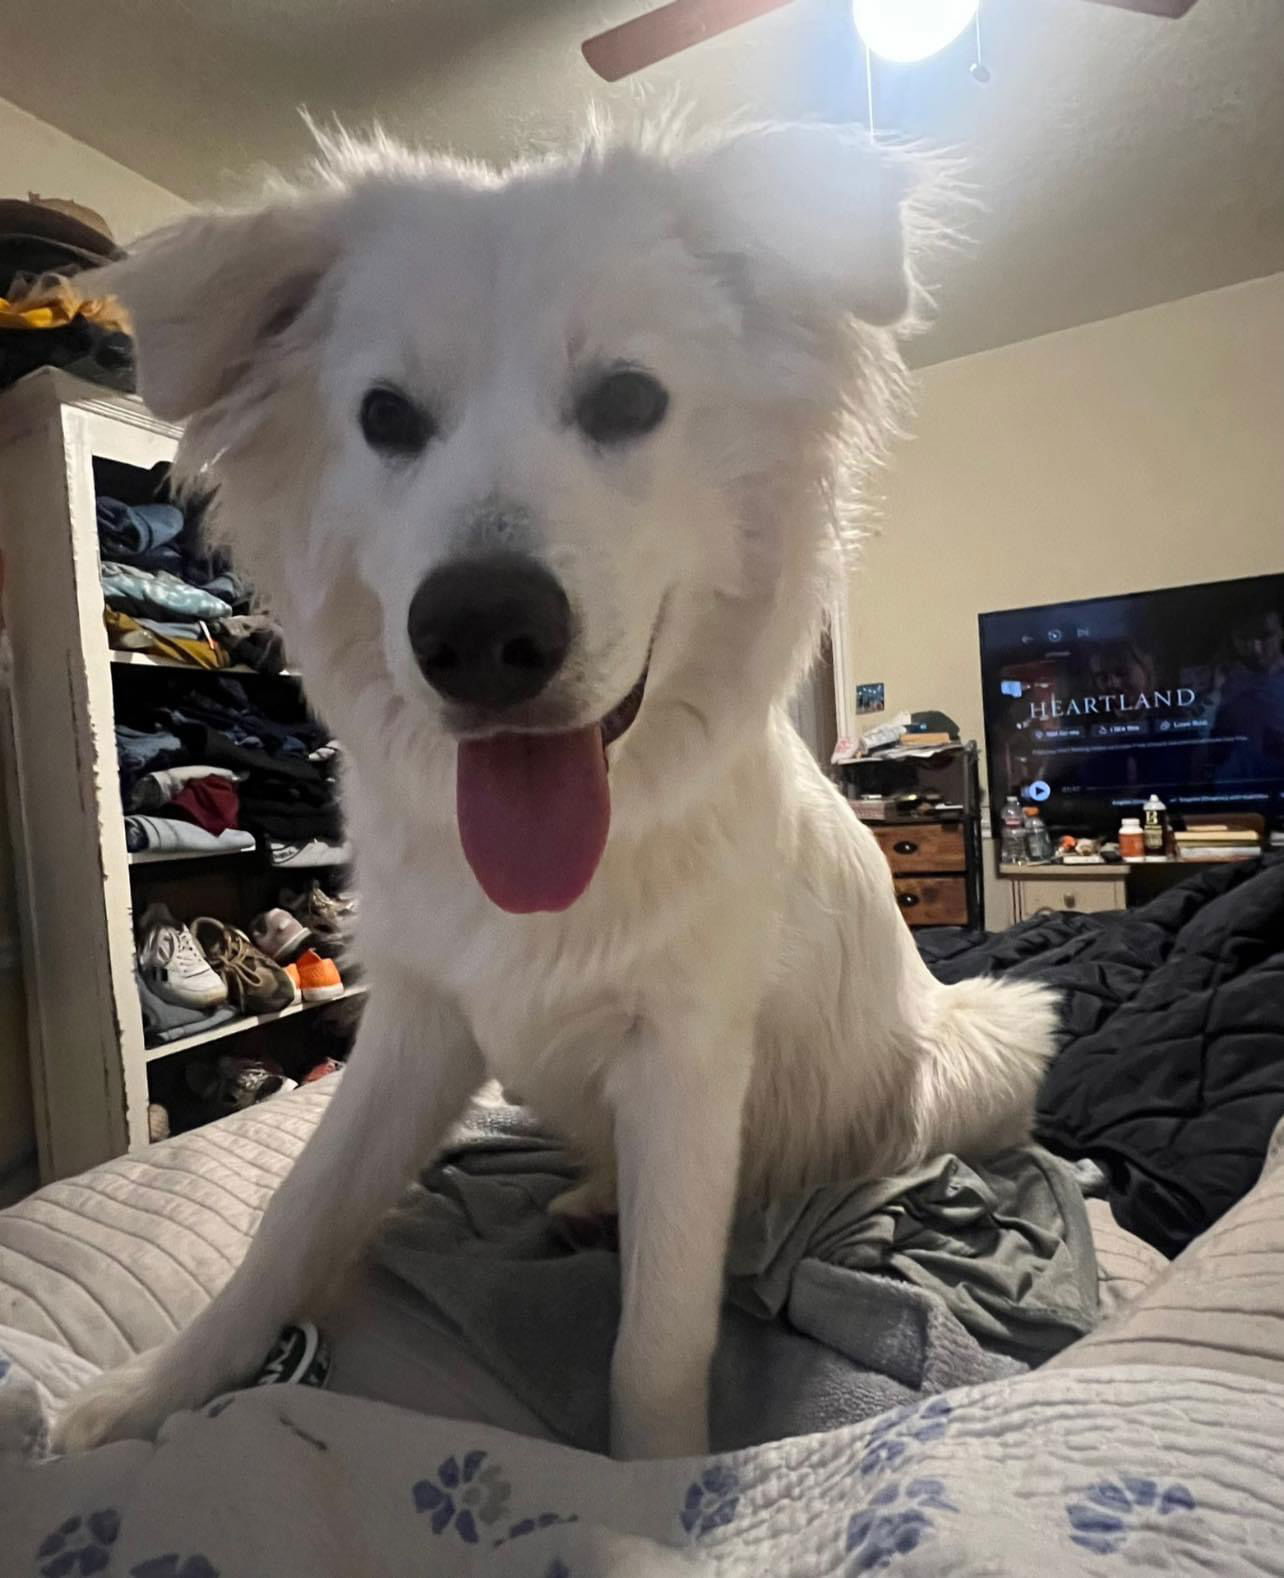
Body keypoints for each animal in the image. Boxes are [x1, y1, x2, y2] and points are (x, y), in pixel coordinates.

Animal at [55, 116, 1053, 1458]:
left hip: (990, 1036)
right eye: (384, 417)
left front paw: (656, 1474)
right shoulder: (416, 1029)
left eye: (630, 399)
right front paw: (152, 1392)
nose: (479, 636)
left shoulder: (688, 1059)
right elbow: (292, 1220)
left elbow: (659, 1333)